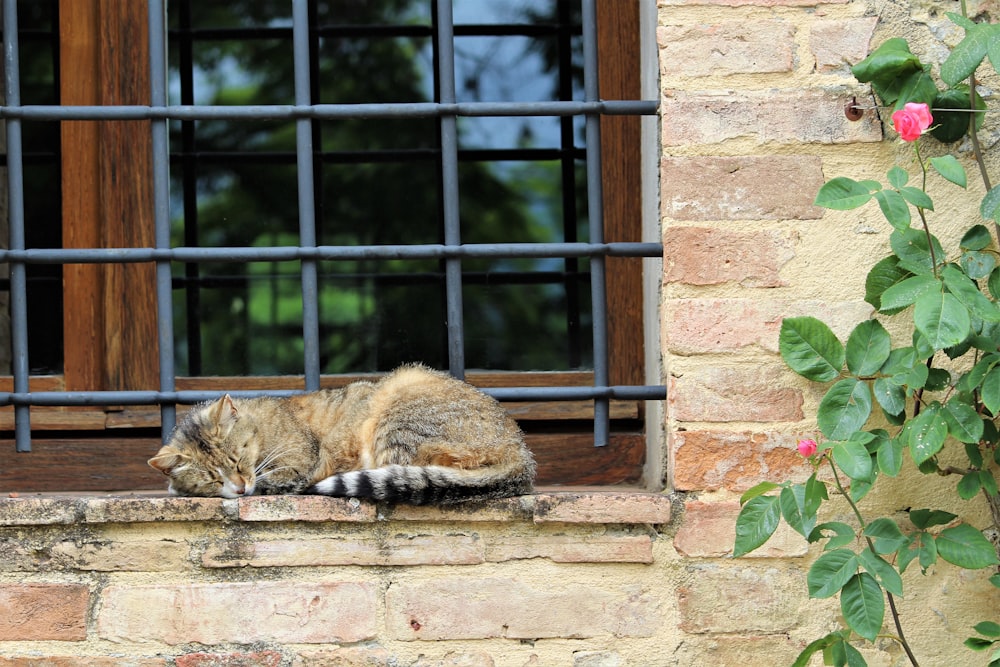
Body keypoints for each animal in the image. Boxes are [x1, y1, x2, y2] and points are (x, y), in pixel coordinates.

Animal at [147, 366, 536, 506]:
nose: (239, 487)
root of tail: (521, 453)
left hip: (399, 403)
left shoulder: (299, 461)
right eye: (211, 478)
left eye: (236, 459)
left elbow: (281, 479)